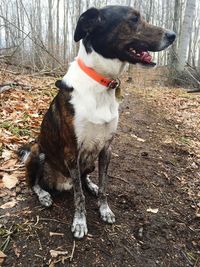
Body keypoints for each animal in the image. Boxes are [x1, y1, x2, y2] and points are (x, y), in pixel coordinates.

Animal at [18, 5, 175, 240]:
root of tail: (61, 182)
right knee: (34, 184)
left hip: (89, 161)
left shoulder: (106, 148)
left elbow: (103, 185)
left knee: (83, 179)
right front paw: (80, 222)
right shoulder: (72, 151)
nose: (173, 35)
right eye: (133, 19)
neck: (101, 82)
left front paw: (104, 209)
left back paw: (89, 185)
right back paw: (44, 194)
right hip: (38, 152)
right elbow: (79, 197)